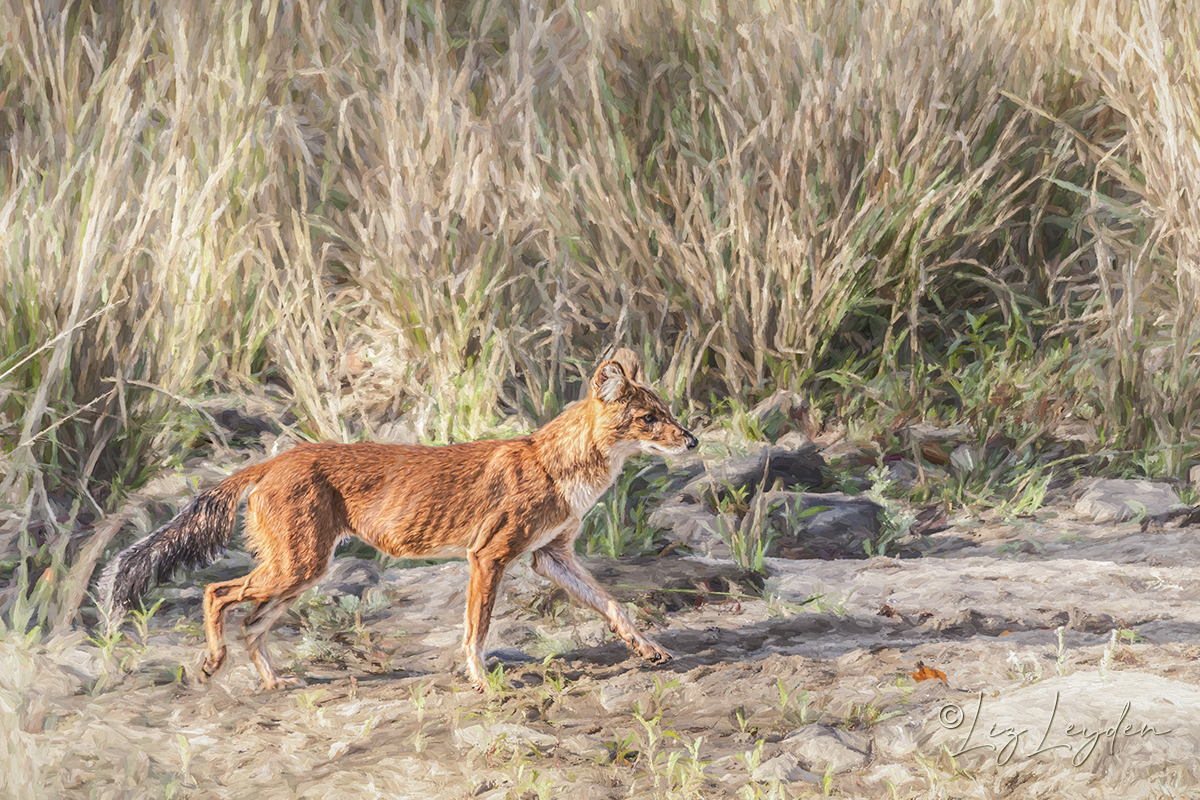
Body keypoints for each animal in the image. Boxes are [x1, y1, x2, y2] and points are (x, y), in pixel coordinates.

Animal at [98, 350, 700, 695]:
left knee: (251, 622)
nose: (693, 441)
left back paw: (272, 682)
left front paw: (648, 649)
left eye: (669, 412)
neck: (563, 468)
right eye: (650, 419)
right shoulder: (489, 555)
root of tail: (276, 458)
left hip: (304, 573)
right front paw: (481, 682)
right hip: (297, 568)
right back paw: (212, 662)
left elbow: (614, 604)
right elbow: (476, 630)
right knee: (217, 593)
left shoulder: (551, 557)